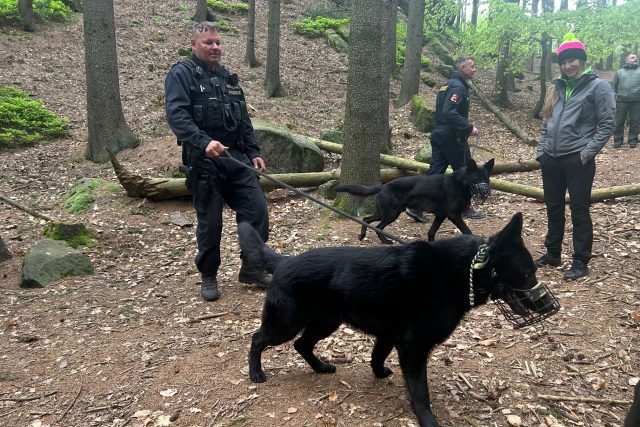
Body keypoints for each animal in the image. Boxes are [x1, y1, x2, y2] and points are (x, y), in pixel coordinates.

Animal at [238, 214, 556, 427]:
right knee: (258, 339)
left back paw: (320, 367)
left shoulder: (390, 336)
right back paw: (256, 373)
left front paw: (379, 373)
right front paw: (426, 419)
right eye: (527, 273)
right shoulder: (413, 347)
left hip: (324, 323)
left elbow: (377, 356)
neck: (464, 270)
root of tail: (284, 261)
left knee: (302, 345)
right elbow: (420, 391)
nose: (550, 305)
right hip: (287, 323)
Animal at [336, 158, 496, 244]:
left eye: (486, 179)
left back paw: (363, 235)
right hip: (391, 214)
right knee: (378, 226)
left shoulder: (441, 216)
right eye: (476, 179)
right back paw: (385, 241)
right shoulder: (454, 215)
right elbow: (467, 231)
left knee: (367, 219)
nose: (485, 192)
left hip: (385, 213)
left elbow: (431, 232)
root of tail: (384, 185)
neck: (461, 183)